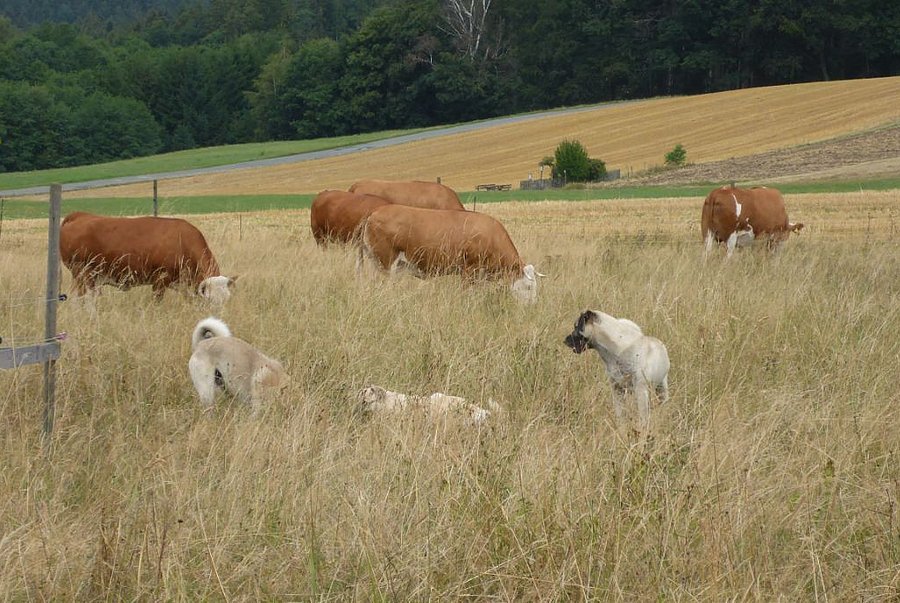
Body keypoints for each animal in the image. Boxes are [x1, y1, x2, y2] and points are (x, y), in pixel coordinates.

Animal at [59, 214, 236, 304]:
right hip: (83, 274)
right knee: (84, 300)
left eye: (227, 300)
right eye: (210, 300)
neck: (183, 241)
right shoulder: (160, 280)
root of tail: (79, 216)